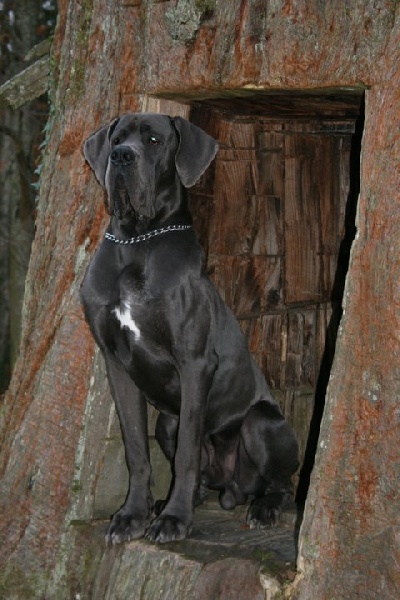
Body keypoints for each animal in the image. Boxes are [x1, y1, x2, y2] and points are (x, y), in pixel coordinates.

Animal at [81, 112, 298, 544]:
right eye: (116, 138)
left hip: (261, 422)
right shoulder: (117, 365)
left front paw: (175, 520)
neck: (137, 239)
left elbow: (186, 455)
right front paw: (132, 515)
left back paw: (263, 508)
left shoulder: (194, 363)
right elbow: (135, 447)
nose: (121, 156)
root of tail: (233, 489)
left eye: (152, 140)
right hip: (167, 420)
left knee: (283, 483)